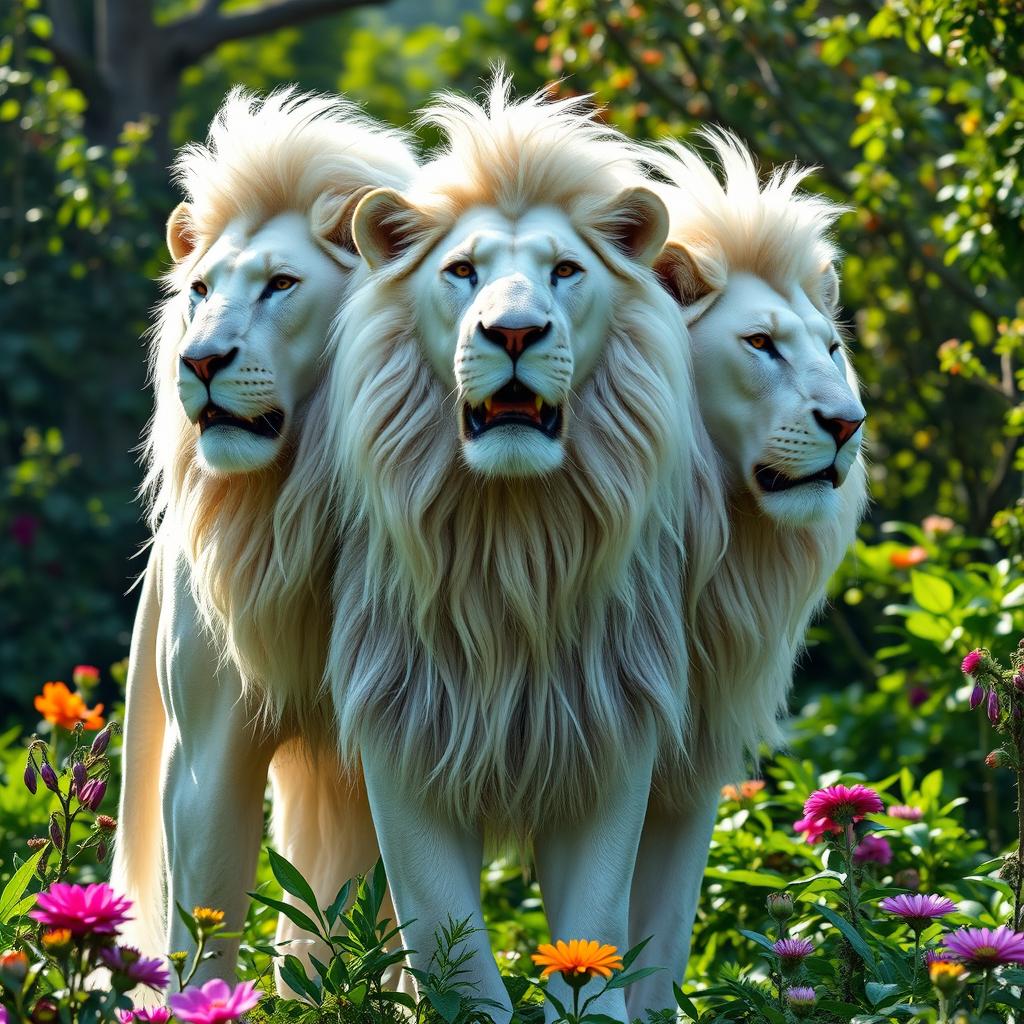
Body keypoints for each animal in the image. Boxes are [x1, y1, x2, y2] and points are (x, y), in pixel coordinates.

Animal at [111, 88, 417, 982]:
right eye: (200, 289)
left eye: (281, 285)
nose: (201, 360)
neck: (291, 503)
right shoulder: (208, 750)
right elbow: (200, 929)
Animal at [317, 76, 728, 1021]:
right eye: (461, 271)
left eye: (565, 271)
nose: (511, 333)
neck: (514, 548)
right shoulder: (403, 732)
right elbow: (450, 940)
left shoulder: (612, 727)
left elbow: (597, 929)